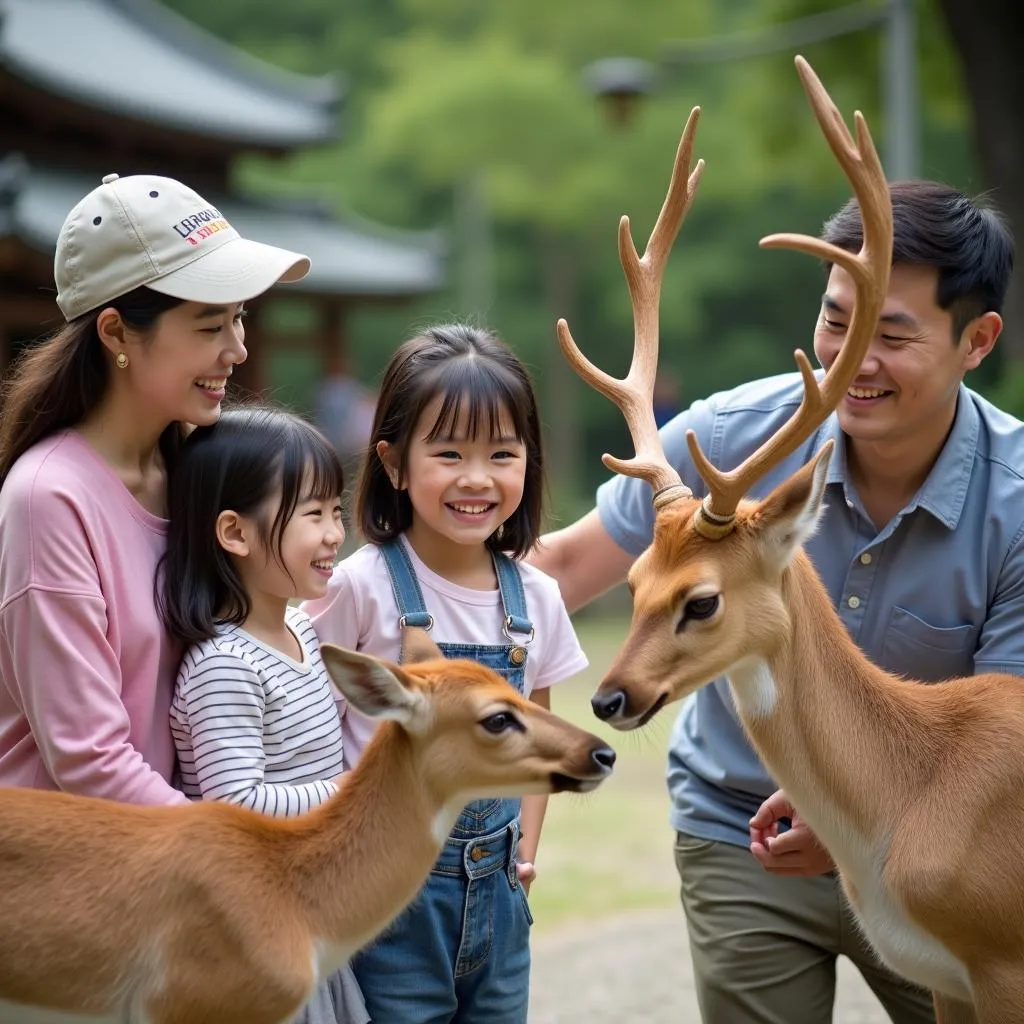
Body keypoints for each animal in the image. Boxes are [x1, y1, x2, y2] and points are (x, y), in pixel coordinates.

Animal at [557, 54, 1024, 1024]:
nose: (609, 698)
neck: (915, 795)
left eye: (701, 599)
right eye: (634, 581)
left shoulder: (1002, 959)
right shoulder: (949, 977)